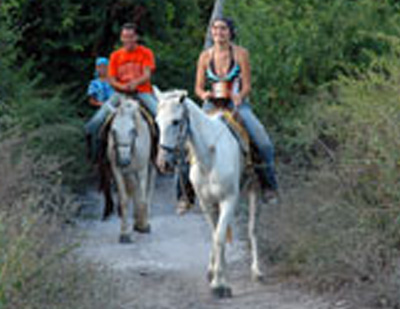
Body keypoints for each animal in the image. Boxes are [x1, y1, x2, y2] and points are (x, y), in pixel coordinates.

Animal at [107, 96, 155, 243]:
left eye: (133, 130)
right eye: (113, 131)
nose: (123, 161)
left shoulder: (142, 170)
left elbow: (143, 197)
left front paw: (143, 226)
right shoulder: (117, 171)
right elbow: (124, 200)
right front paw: (124, 234)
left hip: (151, 167)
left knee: (147, 192)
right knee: (134, 192)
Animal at [155, 89, 264, 296]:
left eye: (175, 121)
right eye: (157, 122)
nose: (163, 163)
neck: (209, 157)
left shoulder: (229, 199)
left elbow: (220, 237)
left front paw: (220, 285)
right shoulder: (206, 202)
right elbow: (215, 234)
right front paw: (217, 275)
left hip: (253, 189)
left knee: (252, 228)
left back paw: (257, 271)